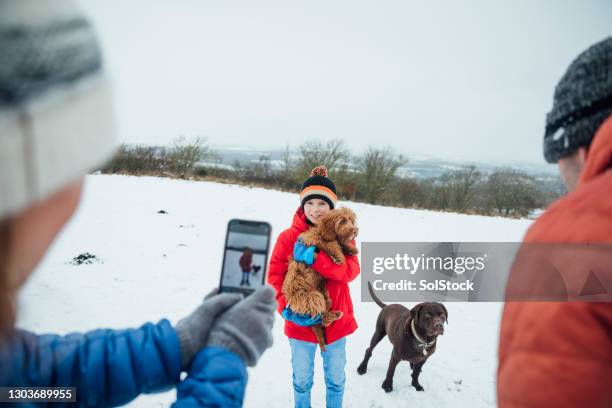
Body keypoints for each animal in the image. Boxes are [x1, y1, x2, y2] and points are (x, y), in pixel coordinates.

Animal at [282, 207, 358, 350]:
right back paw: (333, 315)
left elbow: (339, 243)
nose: (355, 230)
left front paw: (350, 249)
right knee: (320, 316)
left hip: (325, 296)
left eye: (351, 220)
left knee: (321, 318)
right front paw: (339, 256)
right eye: (342, 221)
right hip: (313, 296)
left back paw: (334, 315)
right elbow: (332, 245)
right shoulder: (313, 240)